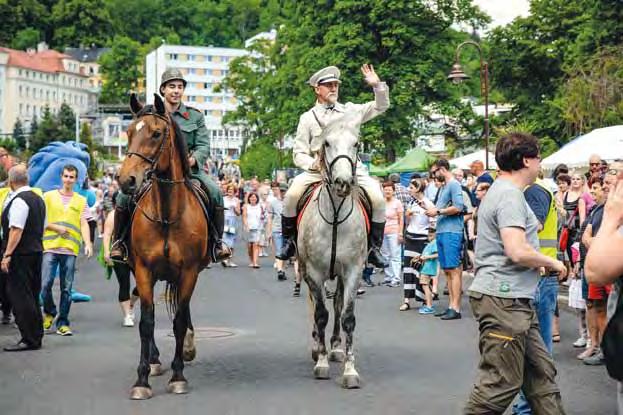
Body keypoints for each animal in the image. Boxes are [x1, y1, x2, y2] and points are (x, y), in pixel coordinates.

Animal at [118, 93, 211, 400]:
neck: (168, 213)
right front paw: (142, 379)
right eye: (128, 132)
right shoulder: (144, 271)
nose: (126, 180)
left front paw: (178, 376)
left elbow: (179, 320)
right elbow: (147, 323)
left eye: (156, 134)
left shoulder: (189, 272)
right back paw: (156, 360)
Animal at [296, 111, 368, 390]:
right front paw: (322, 362)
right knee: (317, 307)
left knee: (337, 304)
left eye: (356, 143)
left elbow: (346, 316)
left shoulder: (353, 271)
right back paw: (318, 346)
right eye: (326, 143)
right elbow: (320, 314)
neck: (336, 214)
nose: (343, 183)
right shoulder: (314, 272)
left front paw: (350, 370)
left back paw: (335, 347)